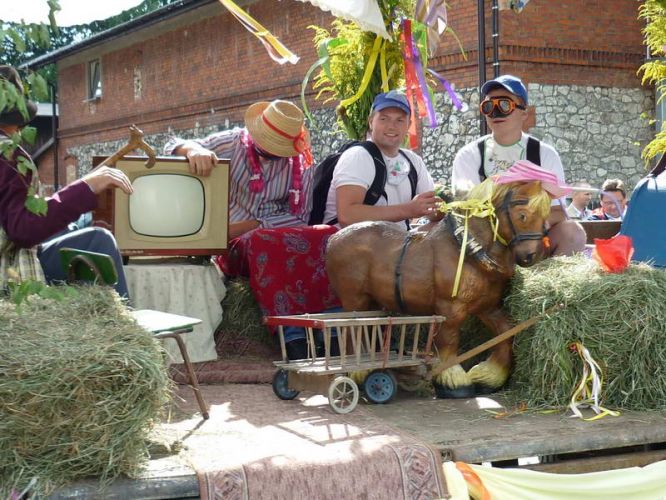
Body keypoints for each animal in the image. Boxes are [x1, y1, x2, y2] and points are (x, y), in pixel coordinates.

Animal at [326, 180, 548, 398]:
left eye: (545, 218)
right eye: (522, 215)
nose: (531, 256)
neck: (468, 251)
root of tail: (333, 239)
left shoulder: (487, 307)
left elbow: (506, 332)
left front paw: (489, 377)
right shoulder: (450, 308)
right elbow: (449, 341)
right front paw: (454, 381)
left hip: (371, 302)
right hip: (355, 299)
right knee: (353, 333)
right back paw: (361, 374)